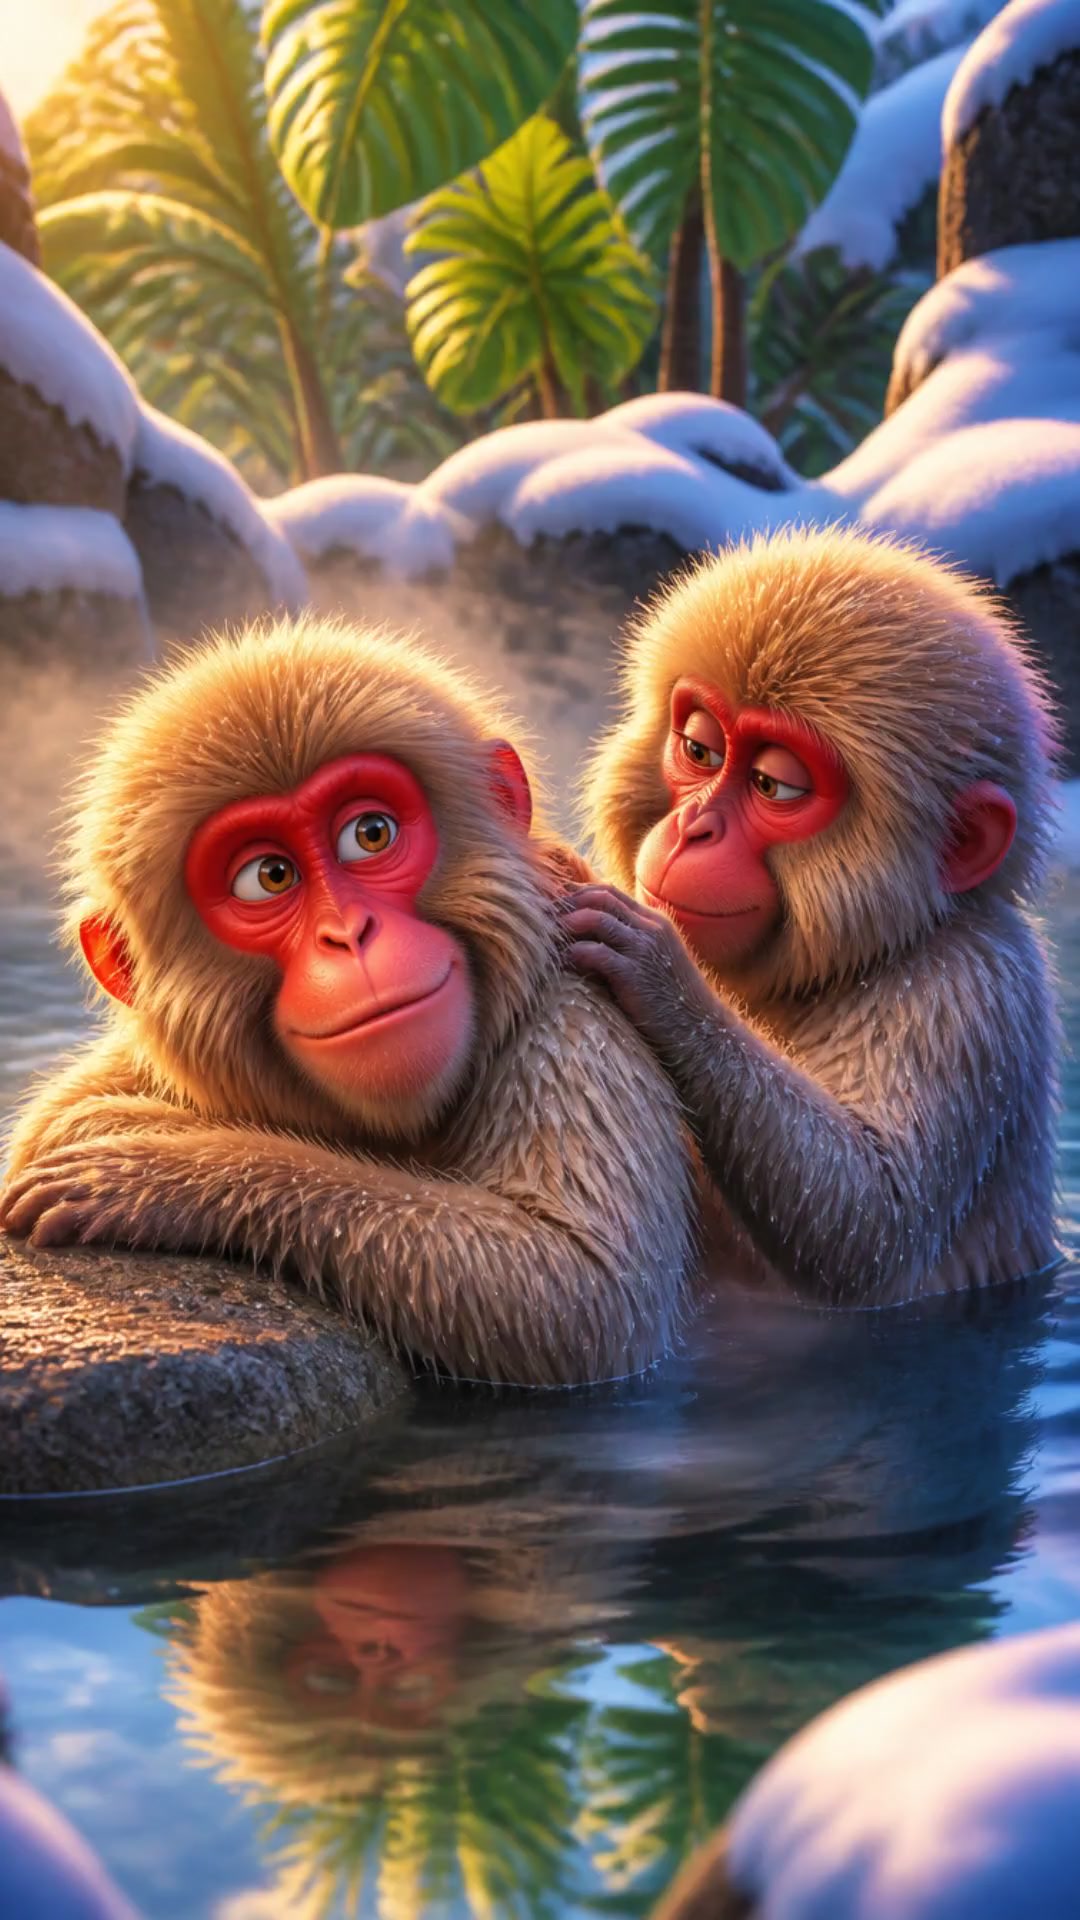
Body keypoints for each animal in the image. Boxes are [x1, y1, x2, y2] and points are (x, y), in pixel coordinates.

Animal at [0, 616, 695, 1387]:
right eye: (268, 876)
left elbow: (581, 1294)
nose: (349, 935)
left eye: (369, 834)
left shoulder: (572, 1021)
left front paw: (152, 1168)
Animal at [565, 526, 1061, 1306]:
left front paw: (665, 985)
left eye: (775, 785)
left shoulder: (972, 987)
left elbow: (870, 1226)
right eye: (700, 750)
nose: (694, 828)